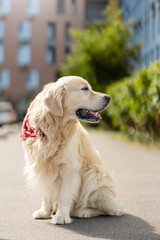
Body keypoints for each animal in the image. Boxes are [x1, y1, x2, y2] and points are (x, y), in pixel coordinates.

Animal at [21, 76, 124, 224]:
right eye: (85, 88)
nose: (108, 97)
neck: (53, 128)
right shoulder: (42, 166)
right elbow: (46, 193)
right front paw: (44, 212)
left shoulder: (69, 167)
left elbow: (64, 195)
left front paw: (61, 216)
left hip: (94, 175)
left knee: (113, 210)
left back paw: (83, 212)